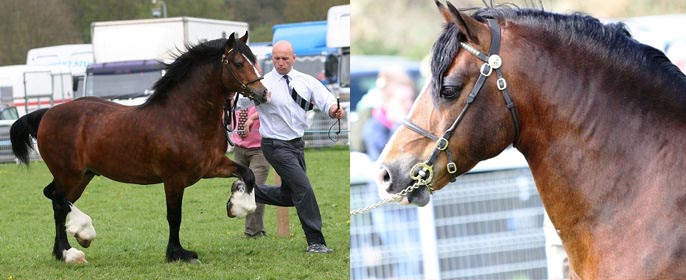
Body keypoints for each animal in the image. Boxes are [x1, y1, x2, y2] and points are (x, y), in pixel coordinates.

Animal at [11, 32, 268, 262]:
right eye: (238, 63)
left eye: (253, 60)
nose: (263, 93)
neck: (184, 117)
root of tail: (47, 114)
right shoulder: (173, 178)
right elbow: (174, 216)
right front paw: (177, 254)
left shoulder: (211, 166)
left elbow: (248, 175)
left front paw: (236, 205)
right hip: (69, 174)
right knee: (57, 200)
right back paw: (75, 244)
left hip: (83, 175)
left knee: (57, 201)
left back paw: (63, 252)